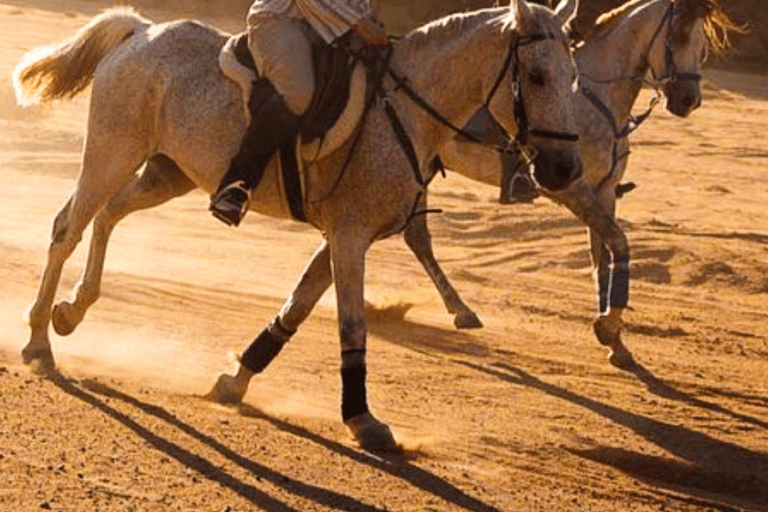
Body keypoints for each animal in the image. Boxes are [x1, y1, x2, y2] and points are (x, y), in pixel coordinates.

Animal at [14, 0, 591, 451]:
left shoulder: (341, 237)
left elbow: (294, 309)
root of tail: (141, 31)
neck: (405, 110)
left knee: (108, 215)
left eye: (573, 77)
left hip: (167, 172)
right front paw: (363, 420)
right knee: (67, 228)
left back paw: (72, 311)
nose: (565, 169)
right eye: (537, 77)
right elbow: (351, 327)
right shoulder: (351, 239)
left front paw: (235, 381)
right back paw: (40, 340)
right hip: (112, 151)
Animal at [412, 0, 738, 367]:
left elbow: (603, 256)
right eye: (679, 35)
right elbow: (619, 243)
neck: (598, 100)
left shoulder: (604, 191)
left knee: (416, 236)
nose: (688, 100)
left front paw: (616, 341)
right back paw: (460, 309)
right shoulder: (571, 188)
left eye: (702, 44)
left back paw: (459, 308)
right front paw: (608, 328)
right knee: (418, 237)